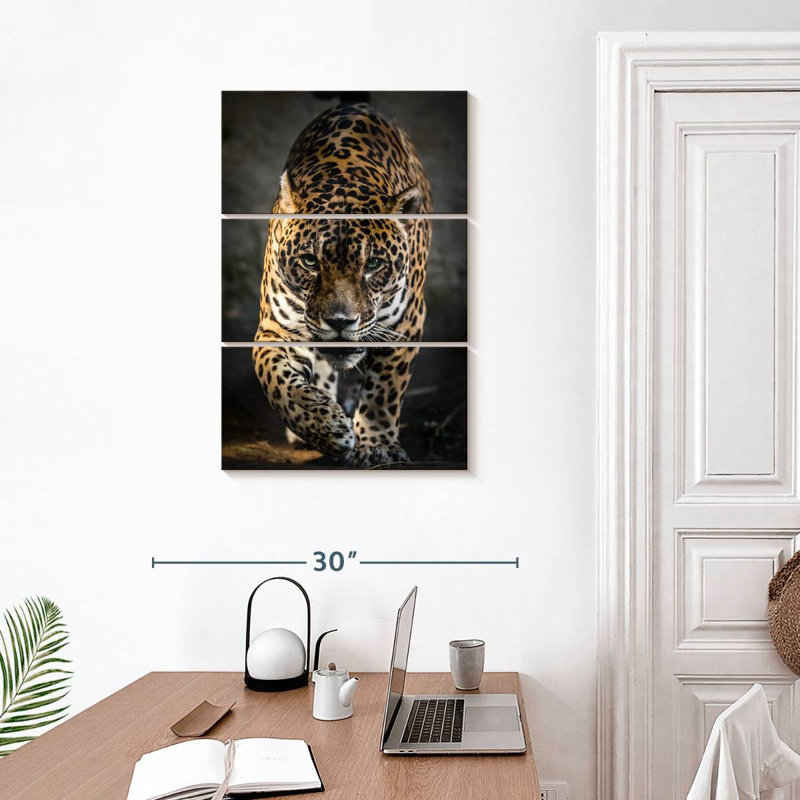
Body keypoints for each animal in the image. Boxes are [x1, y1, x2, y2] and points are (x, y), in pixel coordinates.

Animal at [252, 103, 432, 467]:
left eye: (373, 264)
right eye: (310, 261)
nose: (339, 322)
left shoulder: (406, 323)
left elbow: (384, 390)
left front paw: (377, 445)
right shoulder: (274, 328)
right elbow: (277, 380)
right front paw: (325, 426)